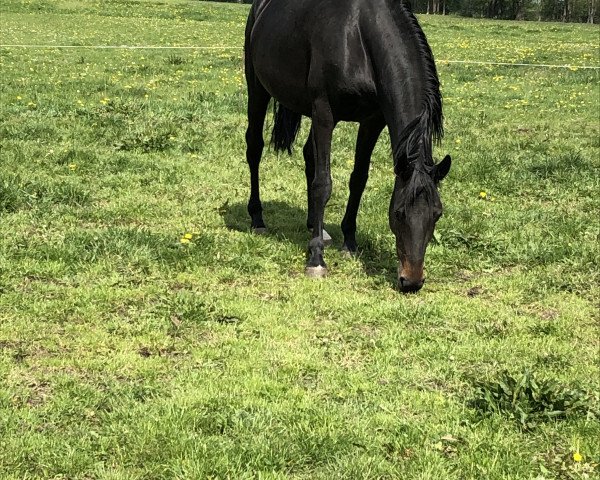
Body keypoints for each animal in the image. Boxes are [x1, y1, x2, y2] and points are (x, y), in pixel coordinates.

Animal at [243, 0, 450, 292]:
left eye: (437, 214)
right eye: (399, 213)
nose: (411, 281)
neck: (358, 36)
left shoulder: (372, 120)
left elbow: (358, 179)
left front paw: (349, 242)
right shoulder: (324, 113)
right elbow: (323, 184)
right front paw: (316, 259)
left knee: (309, 155)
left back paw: (314, 226)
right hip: (257, 89)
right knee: (254, 148)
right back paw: (258, 219)